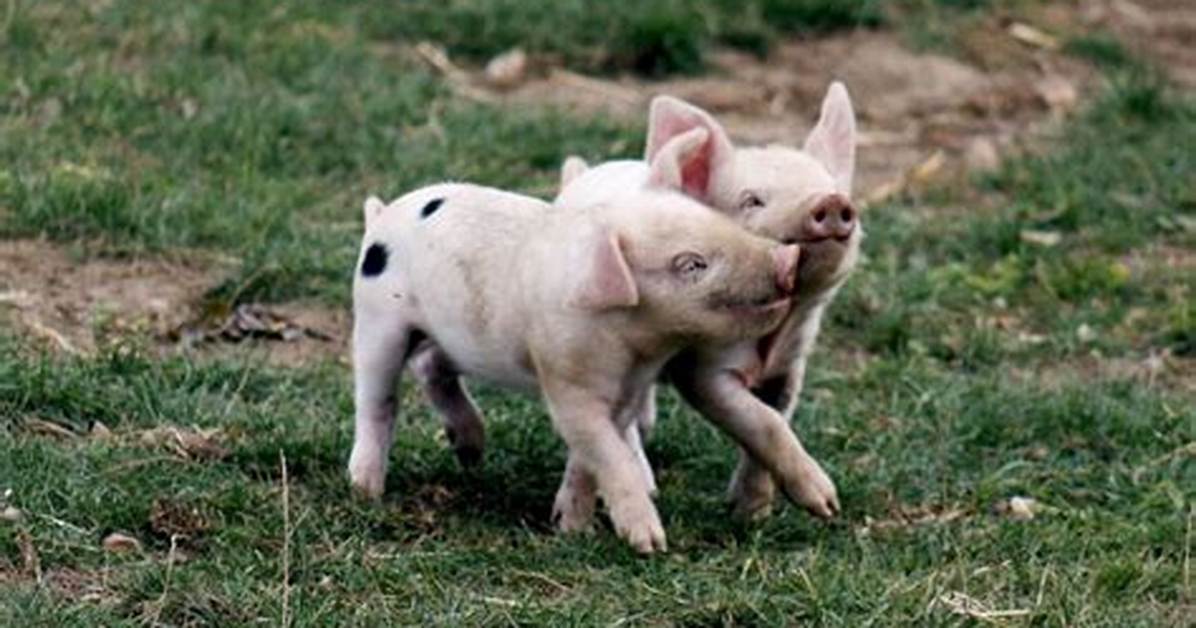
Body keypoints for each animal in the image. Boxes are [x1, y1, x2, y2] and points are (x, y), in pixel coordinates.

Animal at [347, 127, 802, 553]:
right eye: (691, 264)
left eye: (718, 222)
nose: (789, 260)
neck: (636, 347)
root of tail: (381, 216)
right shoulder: (568, 379)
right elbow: (608, 453)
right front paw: (649, 543)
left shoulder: (627, 390)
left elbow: (590, 458)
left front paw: (571, 528)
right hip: (377, 320)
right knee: (378, 401)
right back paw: (365, 489)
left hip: (457, 335)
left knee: (432, 368)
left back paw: (472, 453)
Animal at [553, 82, 861, 522]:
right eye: (752, 201)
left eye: (830, 186)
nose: (832, 201)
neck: (773, 334)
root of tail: (583, 175)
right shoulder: (702, 368)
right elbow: (762, 422)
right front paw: (827, 502)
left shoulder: (790, 367)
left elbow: (776, 417)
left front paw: (752, 514)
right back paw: (647, 486)